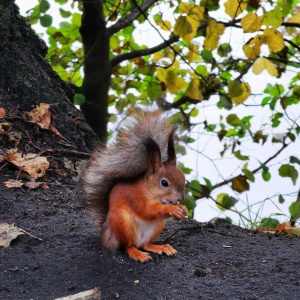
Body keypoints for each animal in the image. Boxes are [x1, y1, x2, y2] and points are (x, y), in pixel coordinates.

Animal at [83, 108, 186, 262]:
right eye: (164, 183)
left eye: (183, 177)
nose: (181, 198)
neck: (149, 191)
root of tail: (107, 236)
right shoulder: (136, 197)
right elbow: (147, 211)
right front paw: (171, 209)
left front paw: (182, 208)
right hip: (123, 223)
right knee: (128, 246)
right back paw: (137, 253)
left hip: (157, 227)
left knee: (145, 244)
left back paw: (160, 247)